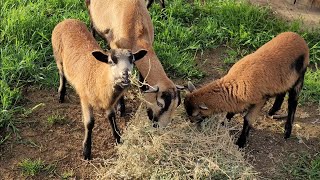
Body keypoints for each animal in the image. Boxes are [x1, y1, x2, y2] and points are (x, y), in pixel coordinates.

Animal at [52, 18, 147, 159]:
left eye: (133, 60)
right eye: (111, 61)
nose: (125, 76)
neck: (100, 77)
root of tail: (67, 20)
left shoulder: (109, 102)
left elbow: (111, 117)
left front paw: (118, 138)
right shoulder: (85, 99)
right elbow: (89, 123)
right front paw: (86, 150)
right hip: (58, 58)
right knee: (62, 74)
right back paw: (61, 95)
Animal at [86, 0, 184, 128]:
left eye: (177, 104)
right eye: (160, 104)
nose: (159, 126)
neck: (137, 33)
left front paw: (142, 87)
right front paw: (120, 108)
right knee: (92, 22)